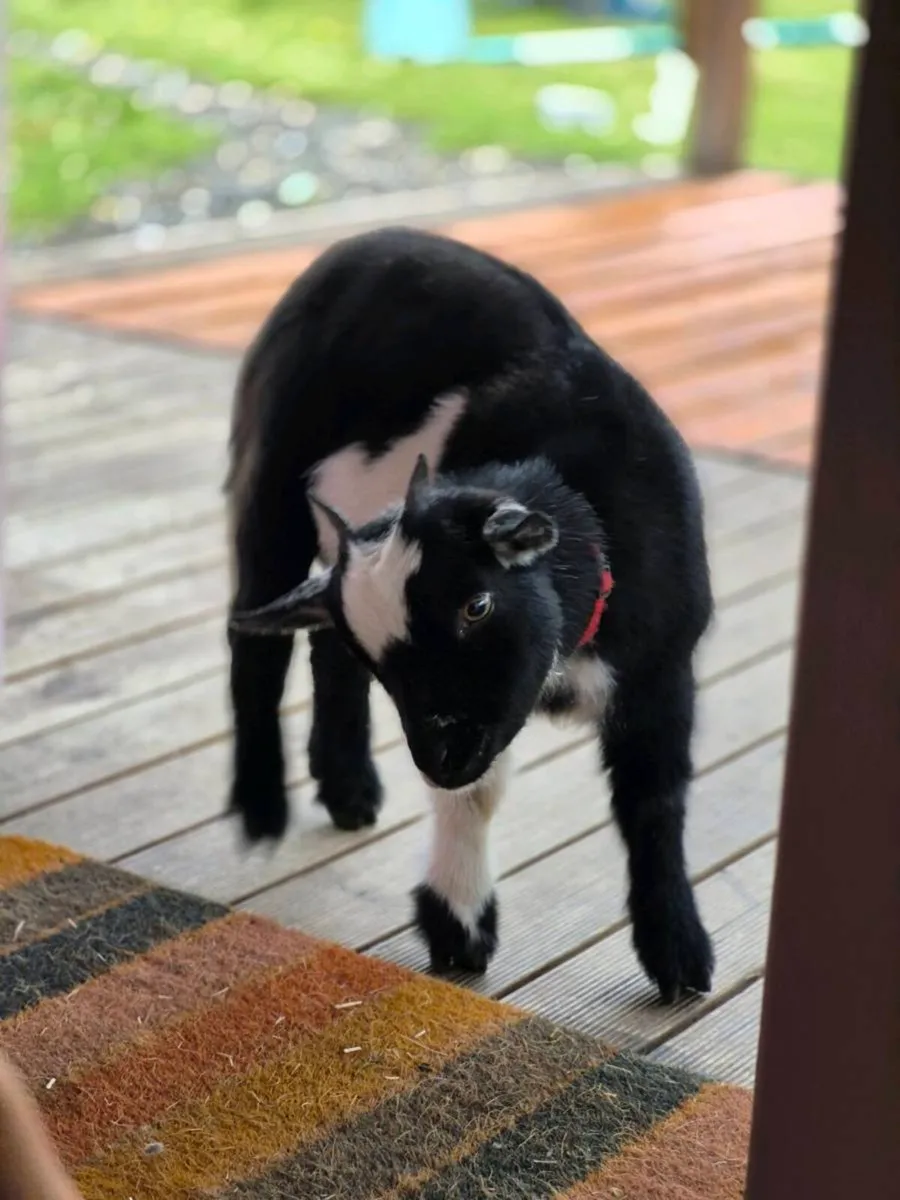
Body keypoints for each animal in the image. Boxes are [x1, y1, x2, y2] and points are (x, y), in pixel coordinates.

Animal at [226, 226, 714, 1003]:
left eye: (476, 605)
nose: (437, 758)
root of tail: (363, 244)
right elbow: (476, 797)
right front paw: (457, 926)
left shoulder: (662, 669)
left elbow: (656, 802)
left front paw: (677, 953)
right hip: (271, 474)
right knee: (254, 646)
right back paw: (263, 807)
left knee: (323, 655)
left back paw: (348, 788)